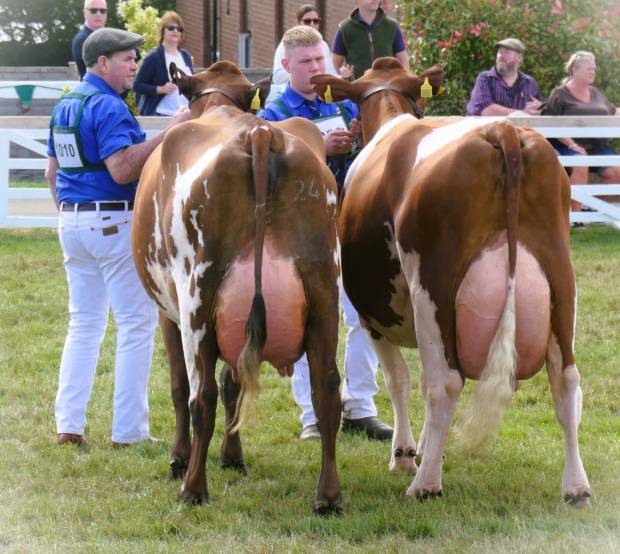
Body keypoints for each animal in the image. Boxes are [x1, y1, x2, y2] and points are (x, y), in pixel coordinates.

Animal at [133, 61, 342, 512]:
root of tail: (260, 133)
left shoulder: (168, 312)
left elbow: (182, 385)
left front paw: (179, 458)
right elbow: (234, 380)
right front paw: (233, 455)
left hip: (198, 294)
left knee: (201, 395)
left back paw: (192, 487)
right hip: (324, 290)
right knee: (327, 390)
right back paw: (328, 496)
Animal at [312, 59, 592, 504]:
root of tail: (502, 131)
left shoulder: (373, 314)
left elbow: (401, 381)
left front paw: (406, 454)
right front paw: (427, 447)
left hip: (434, 289)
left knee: (445, 383)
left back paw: (425, 483)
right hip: (562, 283)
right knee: (565, 381)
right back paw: (576, 486)